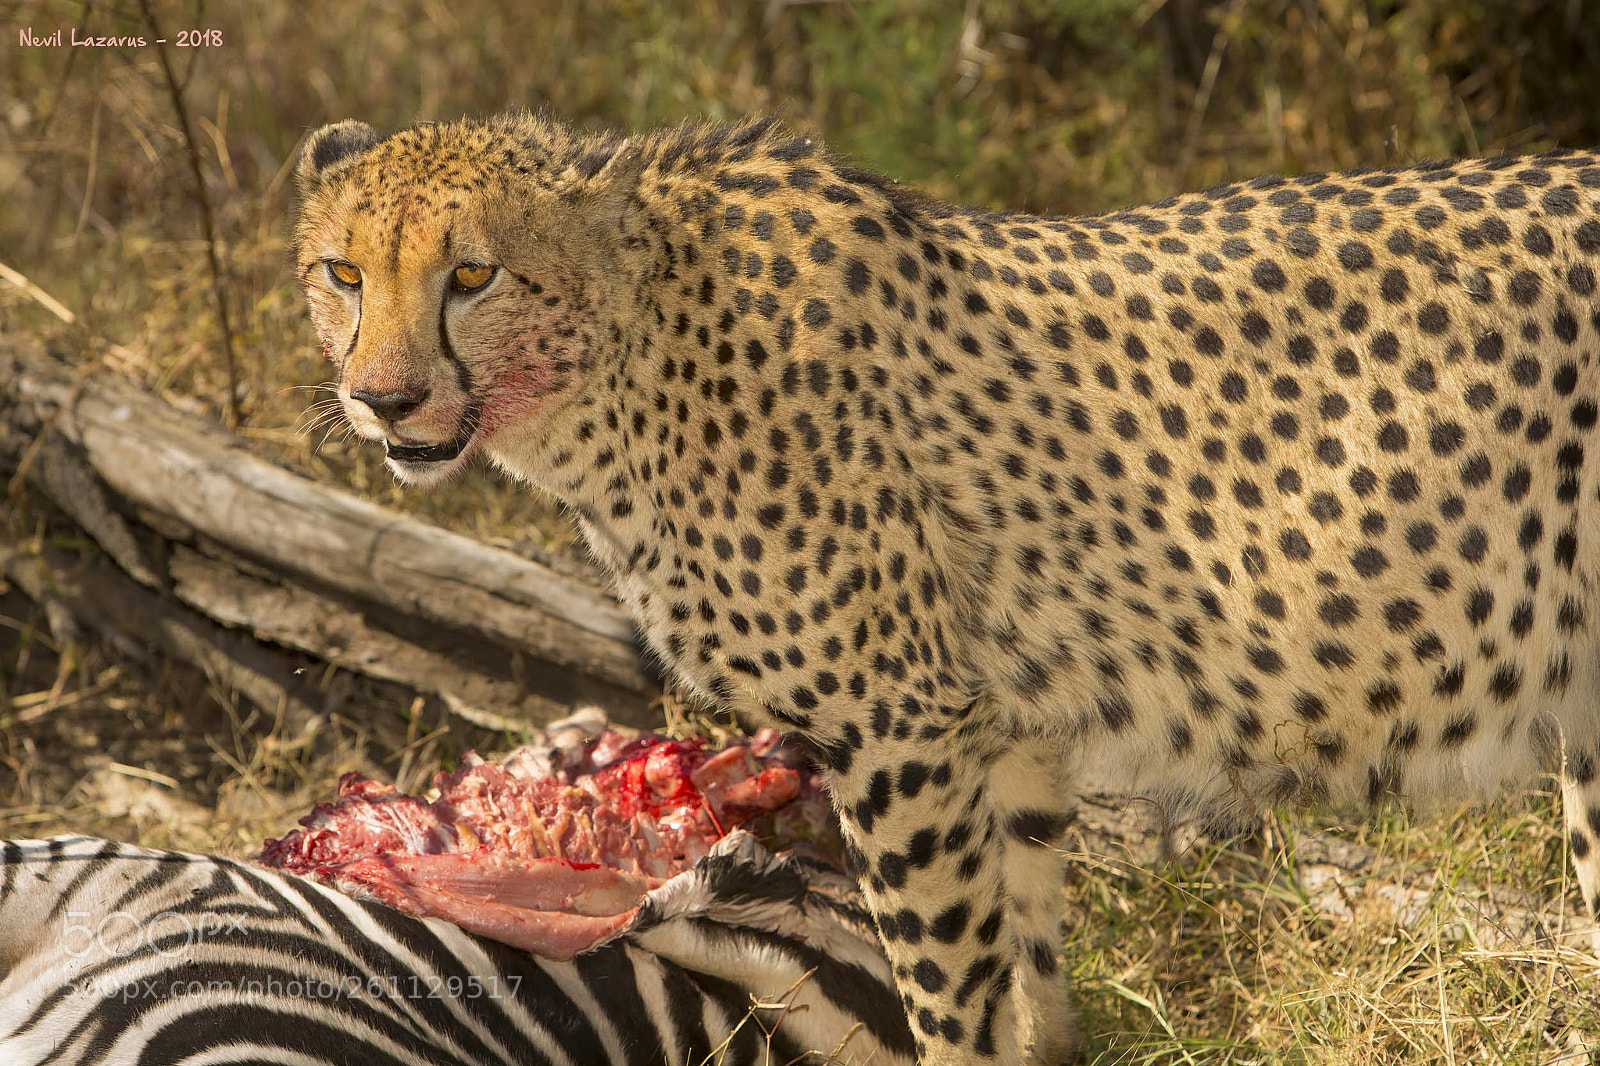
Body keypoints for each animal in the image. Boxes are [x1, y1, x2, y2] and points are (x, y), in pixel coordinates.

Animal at [293, 112, 1600, 1064]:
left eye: (473, 273)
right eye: (342, 271)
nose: (383, 400)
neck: (625, 367)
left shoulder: (898, 730)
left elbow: (941, 976)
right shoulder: (1005, 721)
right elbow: (1027, 939)